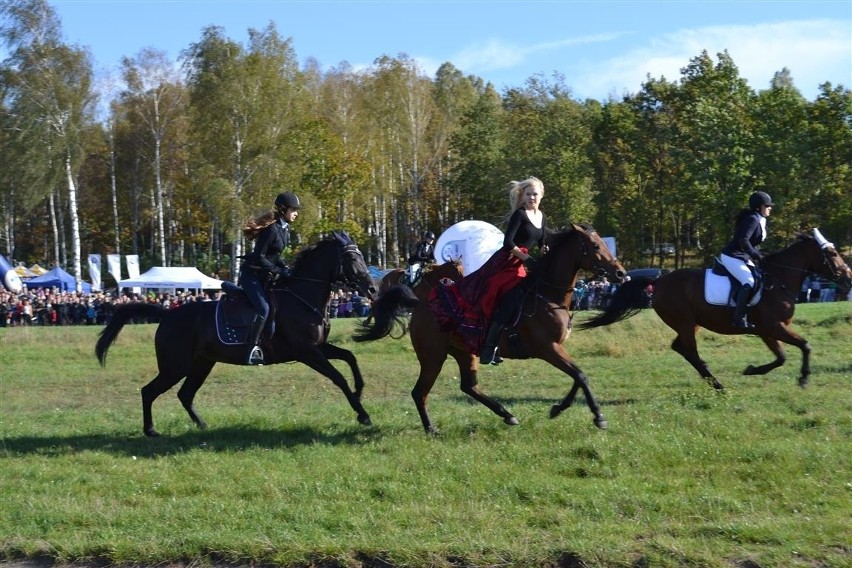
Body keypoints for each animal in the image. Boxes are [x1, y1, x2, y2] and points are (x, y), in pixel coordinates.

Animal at [95, 233, 378, 438]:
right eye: (352, 259)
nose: (373, 289)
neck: (302, 298)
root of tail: (167, 314)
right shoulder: (307, 351)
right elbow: (338, 377)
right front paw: (362, 414)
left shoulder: (319, 346)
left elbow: (350, 357)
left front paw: (360, 391)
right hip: (176, 366)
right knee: (148, 391)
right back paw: (151, 430)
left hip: (202, 363)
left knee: (185, 394)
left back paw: (202, 426)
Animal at [352, 224, 624, 432]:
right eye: (596, 247)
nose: (621, 274)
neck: (547, 294)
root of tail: (421, 304)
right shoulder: (548, 349)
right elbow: (580, 375)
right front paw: (598, 416)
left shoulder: (556, 349)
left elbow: (579, 376)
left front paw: (558, 408)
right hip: (433, 357)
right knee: (420, 392)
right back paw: (431, 429)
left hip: (464, 352)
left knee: (468, 386)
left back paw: (507, 414)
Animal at [580, 229, 852, 388]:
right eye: (833, 254)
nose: (848, 277)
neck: (779, 279)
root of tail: (658, 282)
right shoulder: (774, 327)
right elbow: (805, 346)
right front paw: (804, 378)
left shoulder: (768, 330)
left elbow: (781, 357)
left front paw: (752, 369)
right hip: (684, 321)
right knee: (688, 350)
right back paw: (716, 382)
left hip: (692, 323)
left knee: (681, 347)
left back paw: (711, 376)